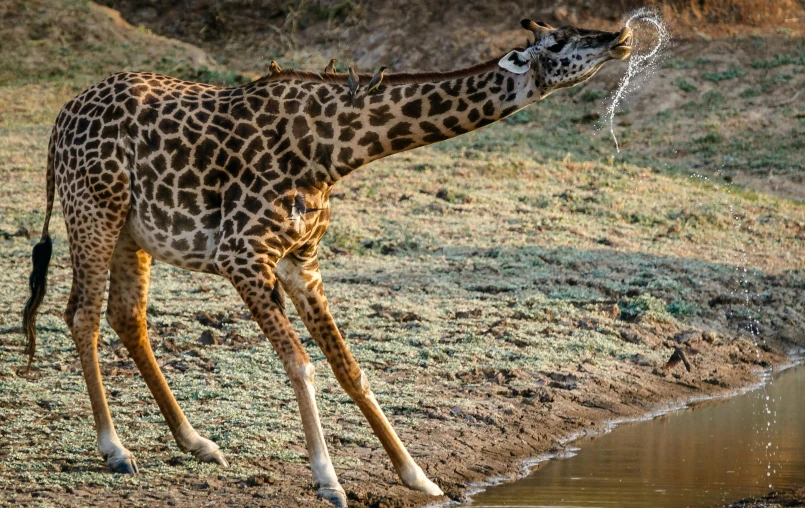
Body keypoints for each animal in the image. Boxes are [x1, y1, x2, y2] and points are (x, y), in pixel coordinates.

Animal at [22, 18, 632, 504]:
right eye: (560, 41)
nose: (621, 37)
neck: (334, 150)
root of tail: (58, 123)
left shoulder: (301, 260)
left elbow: (349, 367)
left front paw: (418, 476)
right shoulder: (242, 255)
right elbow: (302, 363)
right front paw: (329, 481)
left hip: (133, 231)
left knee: (127, 317)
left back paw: (197, 443)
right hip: (94, 210)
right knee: (82, 314)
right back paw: (115, 449)